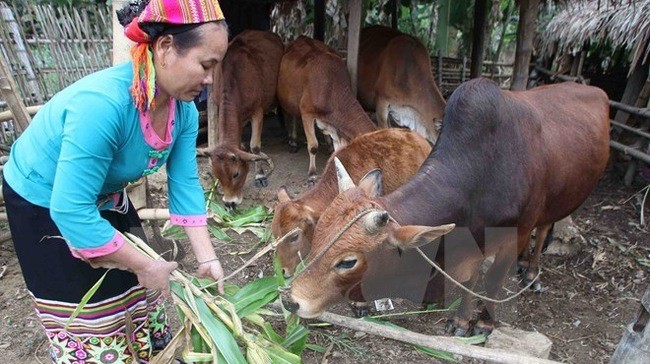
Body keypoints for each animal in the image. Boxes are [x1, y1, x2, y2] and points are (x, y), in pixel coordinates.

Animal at [199, 29, 282, 208]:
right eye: (217, 175)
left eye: (236, 174)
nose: (229, 203)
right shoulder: (219, 105)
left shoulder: (258, 110)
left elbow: (255, 147)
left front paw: (260, 175)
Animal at [276, 36, 378, 185]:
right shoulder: (306, 112)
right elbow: (313, 145)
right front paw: (312, 175)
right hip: (287, 99)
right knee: (291, 115)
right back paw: (293, 141)